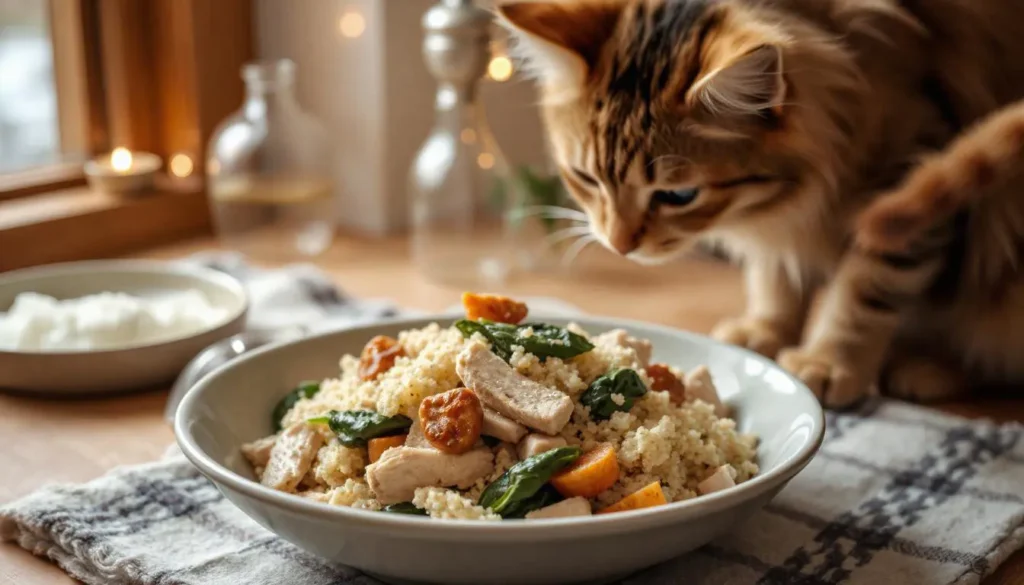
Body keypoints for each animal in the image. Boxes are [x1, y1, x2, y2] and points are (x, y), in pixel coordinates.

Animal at [499, 0, 1024, 407]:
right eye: (586, 178)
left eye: (677, 196)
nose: (620, 245)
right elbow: (776, 274)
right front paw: (764, 332)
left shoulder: (911, 171)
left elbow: (864, 285)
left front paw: (828, 360)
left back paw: (929, 368)